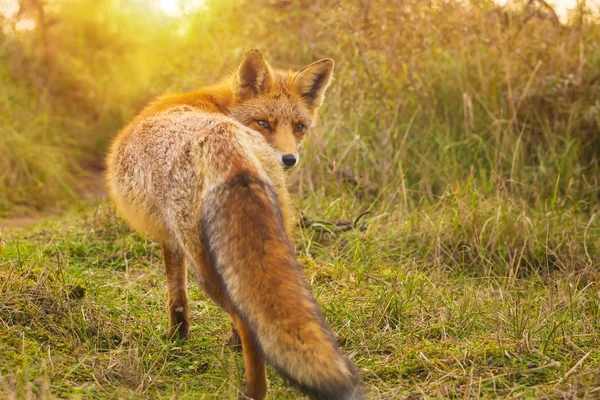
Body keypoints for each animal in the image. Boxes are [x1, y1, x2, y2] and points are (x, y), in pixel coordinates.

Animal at [105, 50, 364, 400]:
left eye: (298, 127)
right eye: (264, 123)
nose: (288, 160)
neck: (218, 106)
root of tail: (226, 140)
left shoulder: (170, 237)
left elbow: (177, 298)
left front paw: (176, 341)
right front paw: (226, 344)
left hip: (206, 262)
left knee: (244, 317)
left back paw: (254, 390)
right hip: (272, 238)